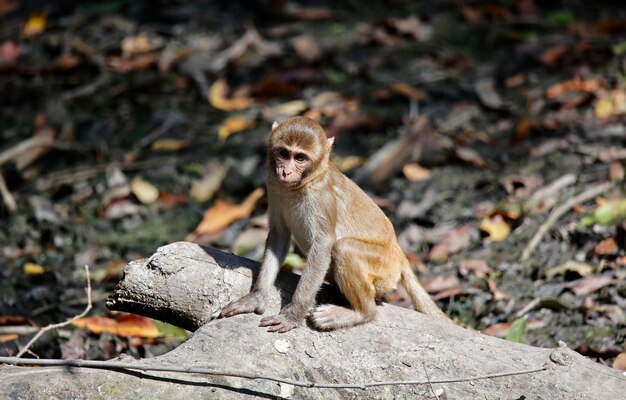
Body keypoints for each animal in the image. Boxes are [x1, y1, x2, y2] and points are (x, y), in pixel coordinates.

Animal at [217, 116, 446, 334]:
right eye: (283, 153)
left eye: (300, 158)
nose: (286, 172)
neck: (301, 185)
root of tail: (399, 253)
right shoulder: (273, 186)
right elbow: (279, 236)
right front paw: (255, 296)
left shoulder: (320, 197)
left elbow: (323, 246)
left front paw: (293, 314)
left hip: (385, 270)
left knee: (344, 248)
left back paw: (361, 313)